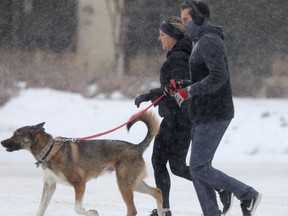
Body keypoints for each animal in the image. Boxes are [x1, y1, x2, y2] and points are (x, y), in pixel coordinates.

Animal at [0, 112, 162, 215]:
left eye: (16, 135)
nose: (2, 142)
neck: (48, 149)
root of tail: (136, 147)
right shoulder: (50, 185)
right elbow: (40, 209)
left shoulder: (79, 183)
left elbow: (77, 208)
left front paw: (92, 212)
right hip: (134, 183)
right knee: (158, 192)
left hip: (124, 183)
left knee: (132, 209)